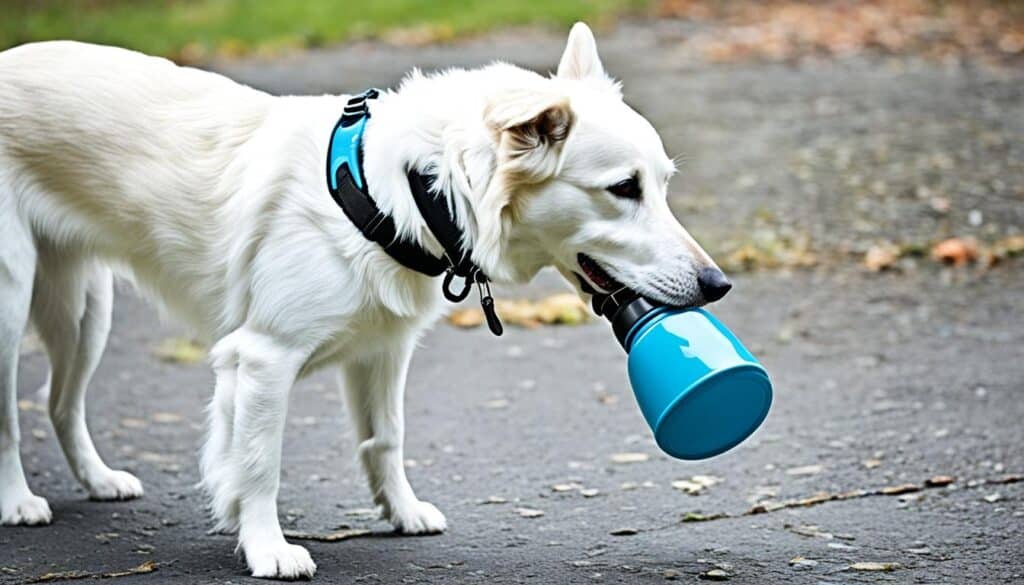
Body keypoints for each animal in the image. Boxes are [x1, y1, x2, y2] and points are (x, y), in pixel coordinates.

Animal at [4, 24, 733, 581]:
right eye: (623, 188)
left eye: (662, 184)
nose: (717, 284)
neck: (411, 190)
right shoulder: (263, 357)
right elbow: (259, 463)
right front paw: (266, 547)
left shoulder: (383, 350)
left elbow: (385, 437)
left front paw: (402, 513)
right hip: (12, 304)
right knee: (12, 417)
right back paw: (18, 501)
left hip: (84, 311)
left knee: (59, 402)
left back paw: (98, 479)